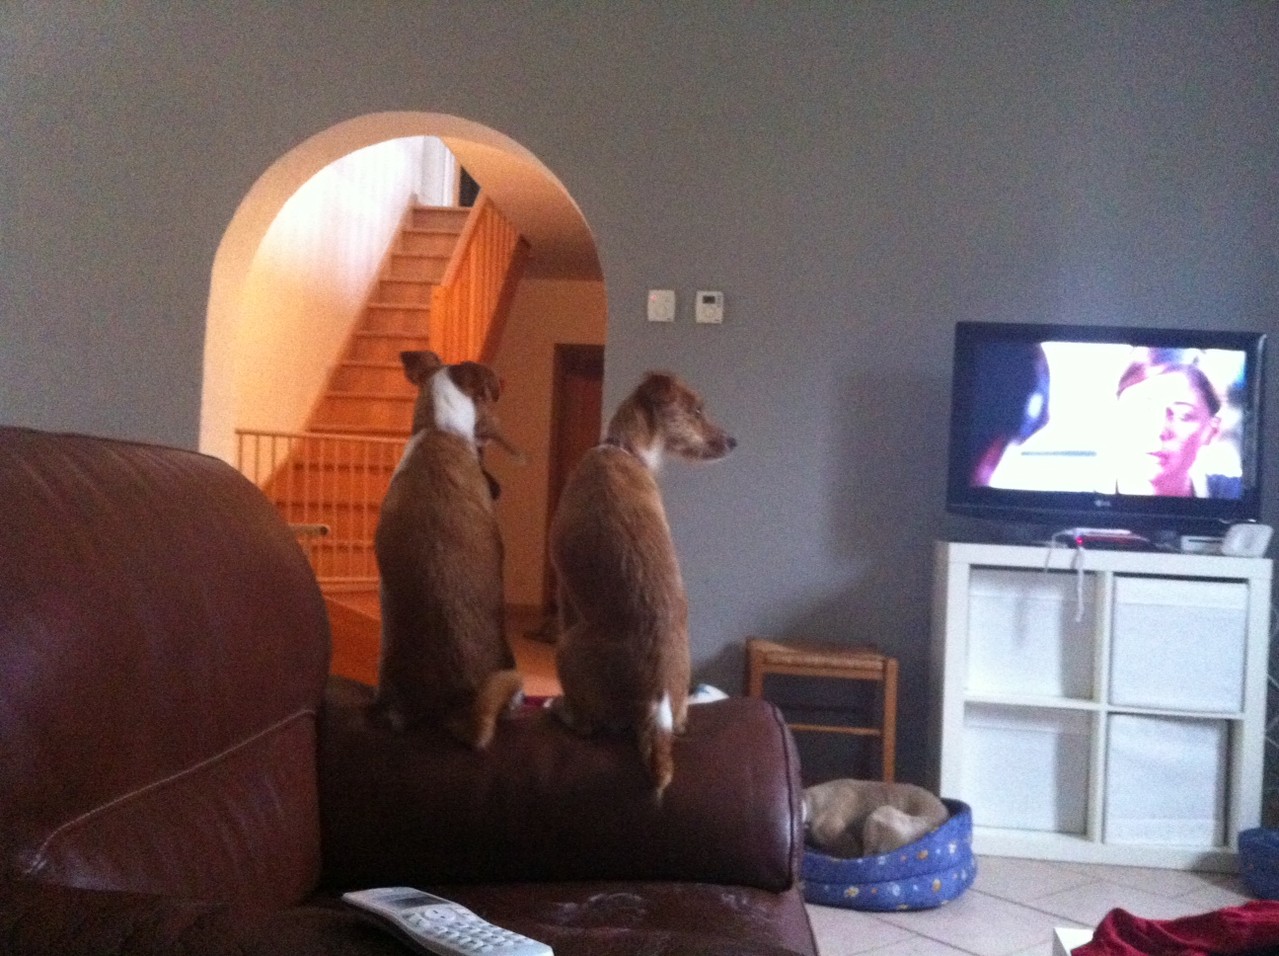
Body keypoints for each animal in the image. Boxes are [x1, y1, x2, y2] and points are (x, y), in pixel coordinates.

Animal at [549, 371, 741, 798]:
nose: (735, 441)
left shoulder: (564, 586)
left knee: (587, 725)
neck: (624, 450)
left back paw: (560, 710)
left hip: (566, 647)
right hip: (677, 706)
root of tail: (658, 704)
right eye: (697, 411)